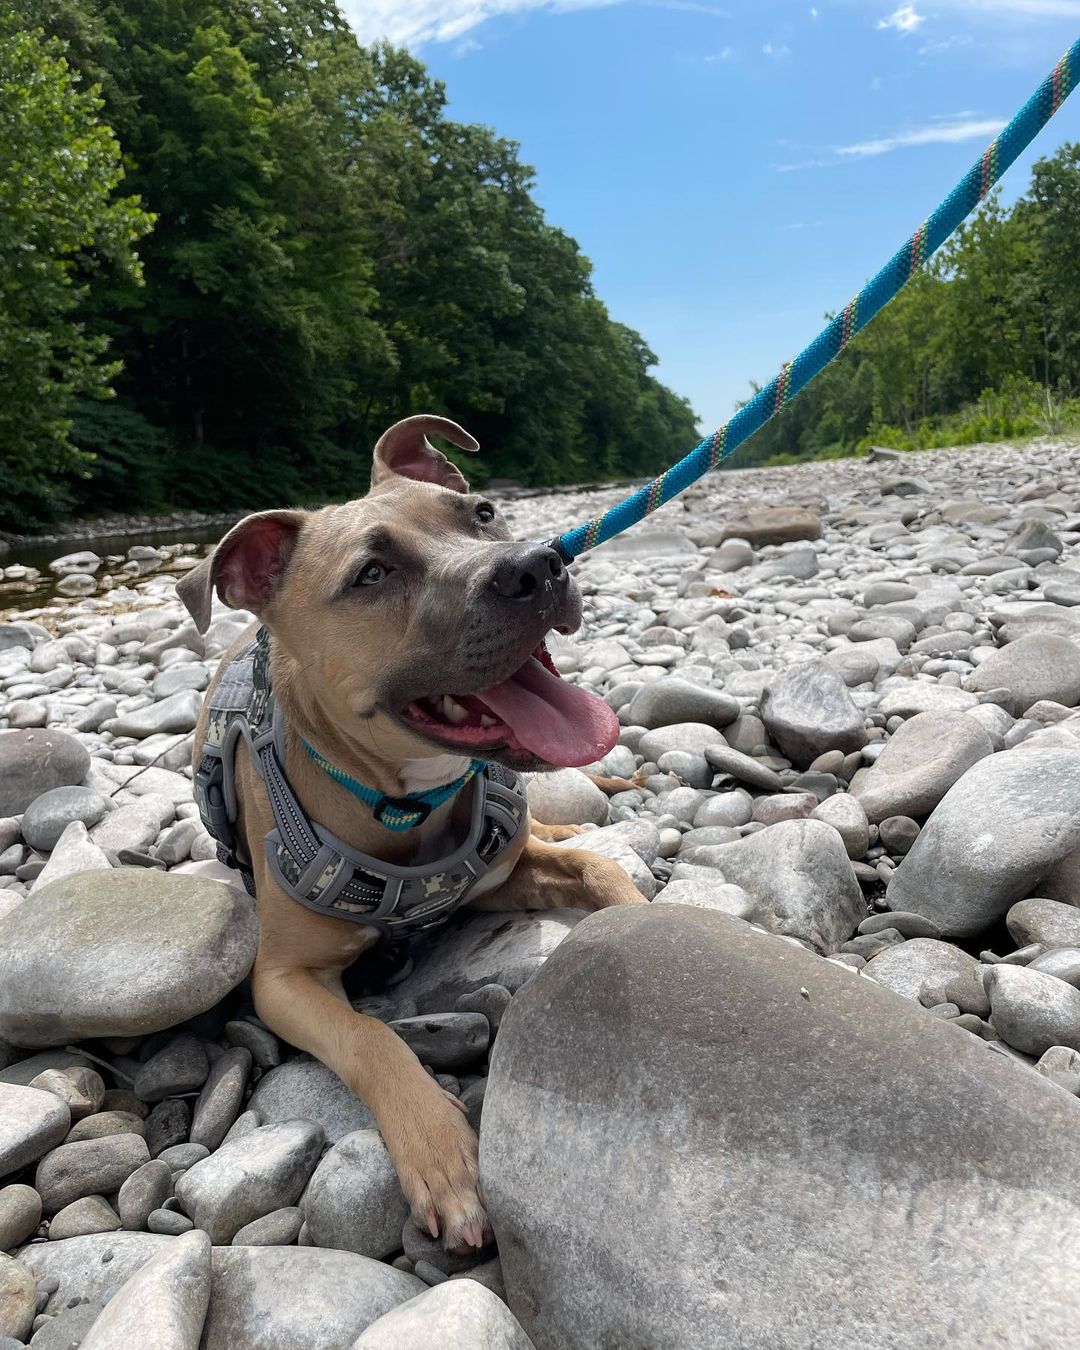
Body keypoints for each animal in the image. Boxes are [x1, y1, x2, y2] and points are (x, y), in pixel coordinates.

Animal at [178, 415, 645, 1247]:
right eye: (372, 573)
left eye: (483, 514)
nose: (538, 564)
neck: (403, 803)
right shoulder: (283, 981)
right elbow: (373, 1038)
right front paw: (440, 1152)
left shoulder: (499, 874)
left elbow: (602, 872)